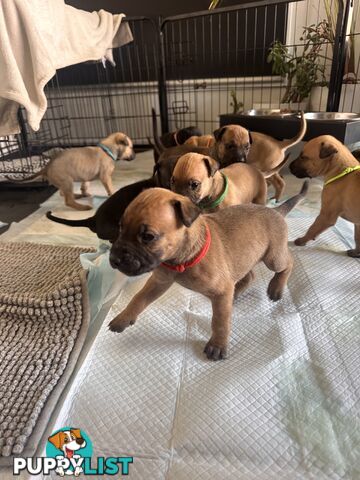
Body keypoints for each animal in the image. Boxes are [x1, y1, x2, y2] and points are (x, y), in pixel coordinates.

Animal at [7, 133, 136, 212]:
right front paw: (113, 194)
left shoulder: (86, 176)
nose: (135, 156)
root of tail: (47, 167)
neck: (107, 150)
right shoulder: (105, 177)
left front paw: (85, 193)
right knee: (68, 200)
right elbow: (110, 188)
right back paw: (83, 207)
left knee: (62, 193)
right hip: (67, 181)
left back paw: (77, 196)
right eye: (131, 147)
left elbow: (85, 185)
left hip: (63, 183)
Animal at [108, 183, 308, 360]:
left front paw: (217, 345)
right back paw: (237, 293)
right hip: (245, 259)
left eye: (148, 237)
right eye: (120, 227)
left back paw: (276, 287)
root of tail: (277, 211)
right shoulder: (159, 281)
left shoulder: (221, 291)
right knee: (249, 275)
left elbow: (220, 321)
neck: (181, 259)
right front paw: (123, 318)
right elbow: (138, 299)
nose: (114, 260)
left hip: (273, 257)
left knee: (288, 263)